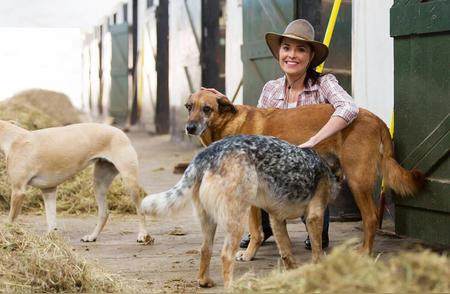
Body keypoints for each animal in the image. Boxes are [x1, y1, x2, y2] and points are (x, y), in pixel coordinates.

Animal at [0, 120, 150, 242]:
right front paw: (51, 240)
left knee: (140, 209)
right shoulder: (49, 190)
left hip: (129, 181)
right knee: (104, 213)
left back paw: (143, 234)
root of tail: (119, 132)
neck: (13, 139)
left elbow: (11, 219)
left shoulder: (18, 191)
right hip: (99, 184)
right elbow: (51, 220)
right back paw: (92, 236)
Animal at [142, 135, 342, 288]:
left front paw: (293, 274)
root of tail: (206, 154)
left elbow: (286, 251)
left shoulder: (276, 218)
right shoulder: (314, 216)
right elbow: (317, 250)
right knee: (225, 256)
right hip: (237, 220)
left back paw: (205, 281)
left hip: (208, 221)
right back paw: (232, 286)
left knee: (205, 250)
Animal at [185, 88, 424, 258]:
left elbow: (255, 228)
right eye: (189, 107)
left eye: (207, 109)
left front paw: (249, 253)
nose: (189, 127)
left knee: (371, 217)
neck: (228, 125)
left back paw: (365, 252)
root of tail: (375, 118)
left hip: (358, 181)